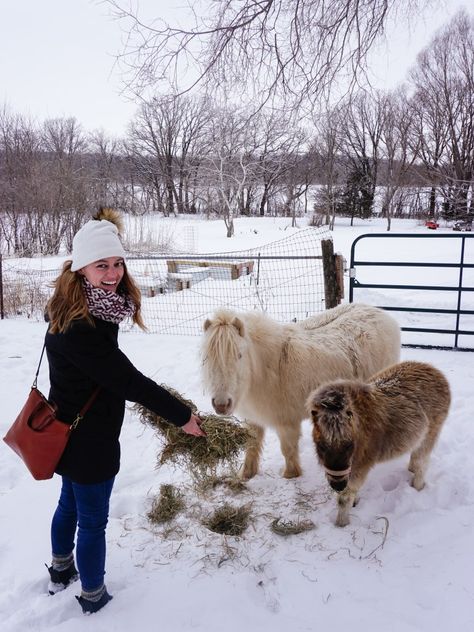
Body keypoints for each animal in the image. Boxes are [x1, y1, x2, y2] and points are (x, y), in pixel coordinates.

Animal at [306, 360, 450, 528]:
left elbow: (344, 498)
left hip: (430, 435)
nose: (338, 486)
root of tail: (433, 369)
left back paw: (417, 487)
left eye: (349, 446)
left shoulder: (360, 466)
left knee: (422, 463)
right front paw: (354, 502)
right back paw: (411, 470)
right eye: (321, 446)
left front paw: (342, 524)